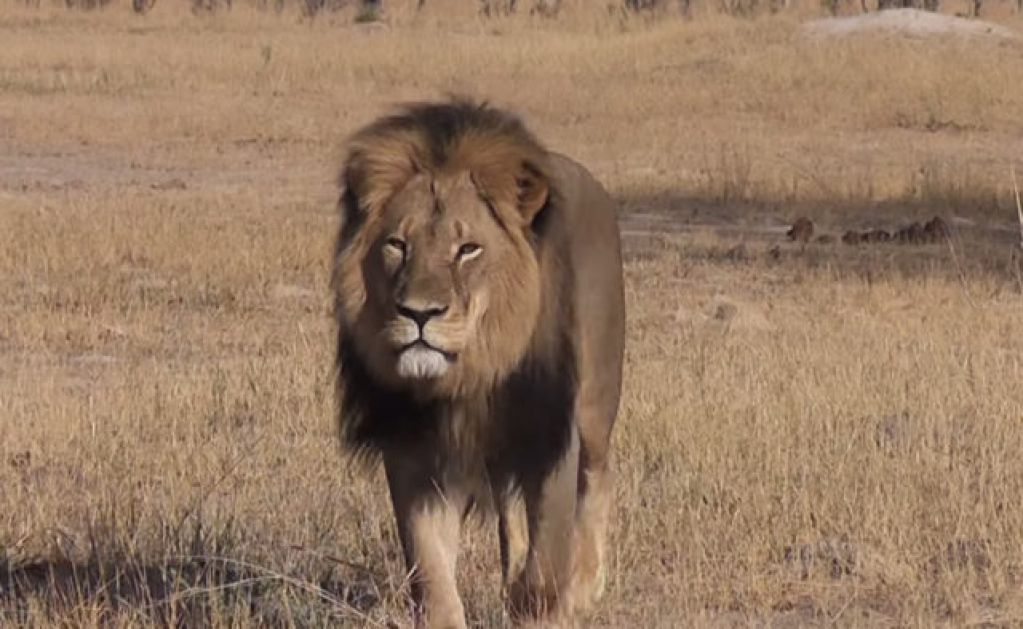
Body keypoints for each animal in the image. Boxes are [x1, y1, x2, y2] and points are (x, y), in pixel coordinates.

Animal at [331, 99, 625, 628]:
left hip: (596, 404)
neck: (468, 379)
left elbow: (547, 560)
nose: (419, 313)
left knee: (597, 482)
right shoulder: (415, 453)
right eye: (397, 245)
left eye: (467, 249)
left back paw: (585, 591)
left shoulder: (550, 434)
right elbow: (430, 569)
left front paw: (545, 608)